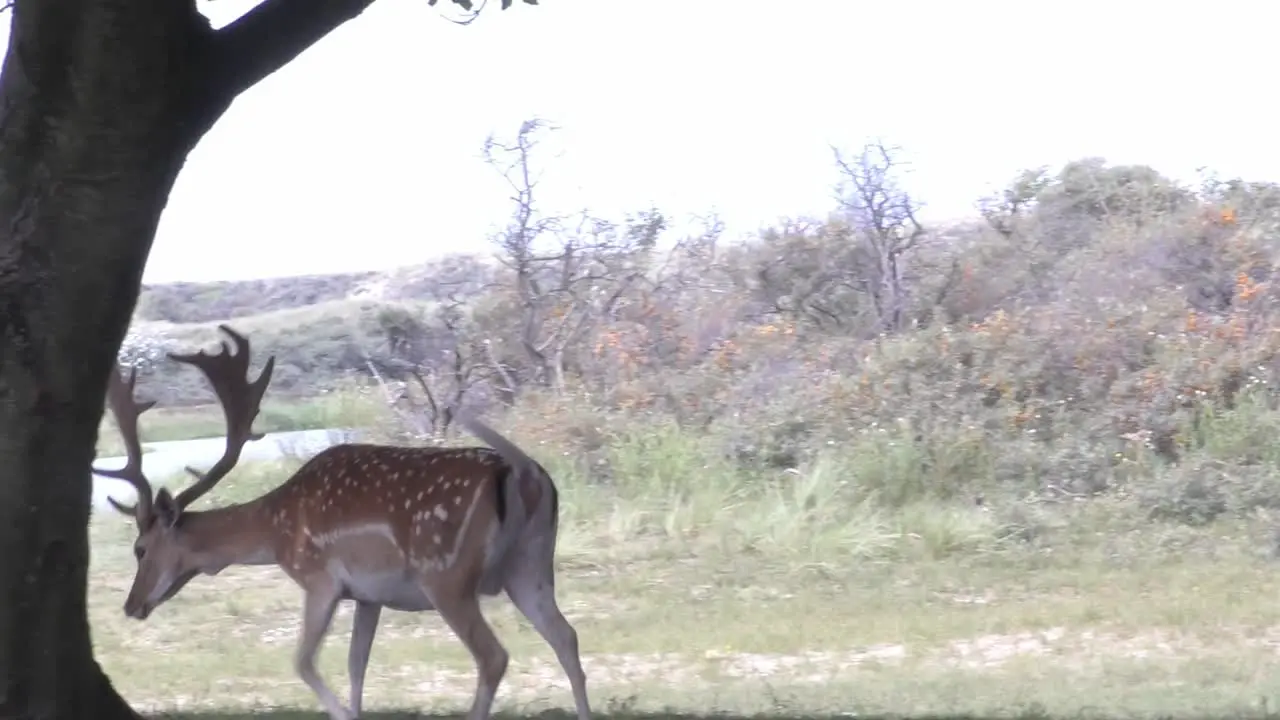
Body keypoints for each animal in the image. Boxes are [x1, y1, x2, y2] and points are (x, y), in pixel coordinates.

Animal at [96, 324, 593, 717]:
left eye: (140, 548)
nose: (131, 605)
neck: (275, 531)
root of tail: (525, 475)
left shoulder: (319, 578)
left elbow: (302, 661)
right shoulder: (369, 595)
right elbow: (357, 666)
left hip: (446, 573)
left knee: (494, 657)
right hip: (529, 565)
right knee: (566, 637)